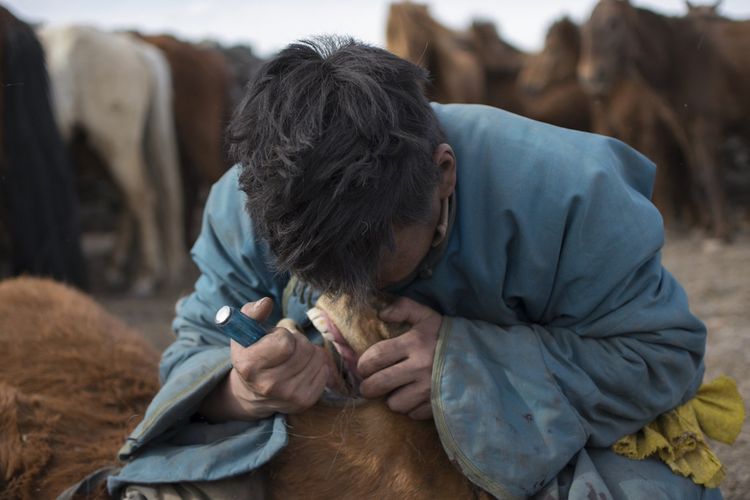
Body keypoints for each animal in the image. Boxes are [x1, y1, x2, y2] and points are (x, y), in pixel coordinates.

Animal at [37, 25, 187, 294]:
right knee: (131, 196)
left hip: (114, 139)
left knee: (141, 194)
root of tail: (136, 49)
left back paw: (145, 274)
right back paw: (117, 266)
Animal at [580, 0, 750, 242]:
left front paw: (722, 231)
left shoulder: (704, 125)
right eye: (586, 26)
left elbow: (710, 174)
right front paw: (707, 226)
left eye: (613, 23)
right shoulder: (682, 128)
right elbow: (697, 176)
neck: (680, 59)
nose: (590, 76)